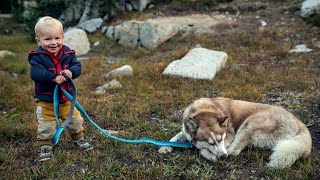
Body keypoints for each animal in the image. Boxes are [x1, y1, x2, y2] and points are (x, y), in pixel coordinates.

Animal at [160, 97, 312, 168]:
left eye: (220, 139)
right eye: (211, 142)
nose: (223, 157)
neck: (202, 109)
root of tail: (299, 123)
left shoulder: (230, 135)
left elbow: (202, 149)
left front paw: (209, 154)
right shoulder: (185, 131)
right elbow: (175, 137)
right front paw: (165, 147)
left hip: (249, 123)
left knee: (234, 151)